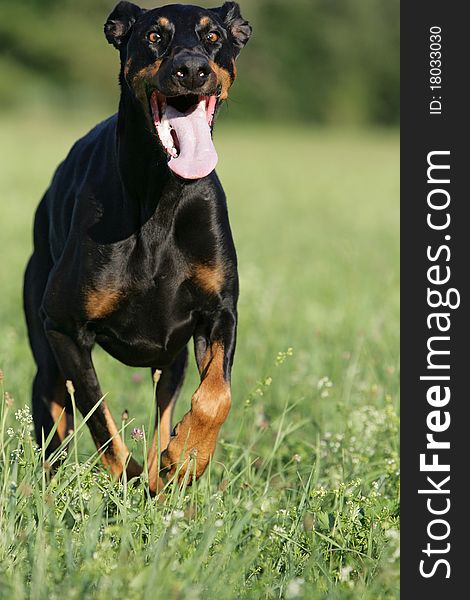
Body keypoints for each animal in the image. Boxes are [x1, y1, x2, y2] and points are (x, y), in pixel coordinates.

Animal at [23, 2, 252, 494]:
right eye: (153, 36)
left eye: (214, 36)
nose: (192, 69)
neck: (161, 196)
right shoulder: (63, 327)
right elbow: (100, 418)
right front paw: (128, 481)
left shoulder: (219, 312)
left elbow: (216, 396)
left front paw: (185, 459)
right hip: (45, 352)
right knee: (54, 426)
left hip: (172, 358)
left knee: (166, 409)